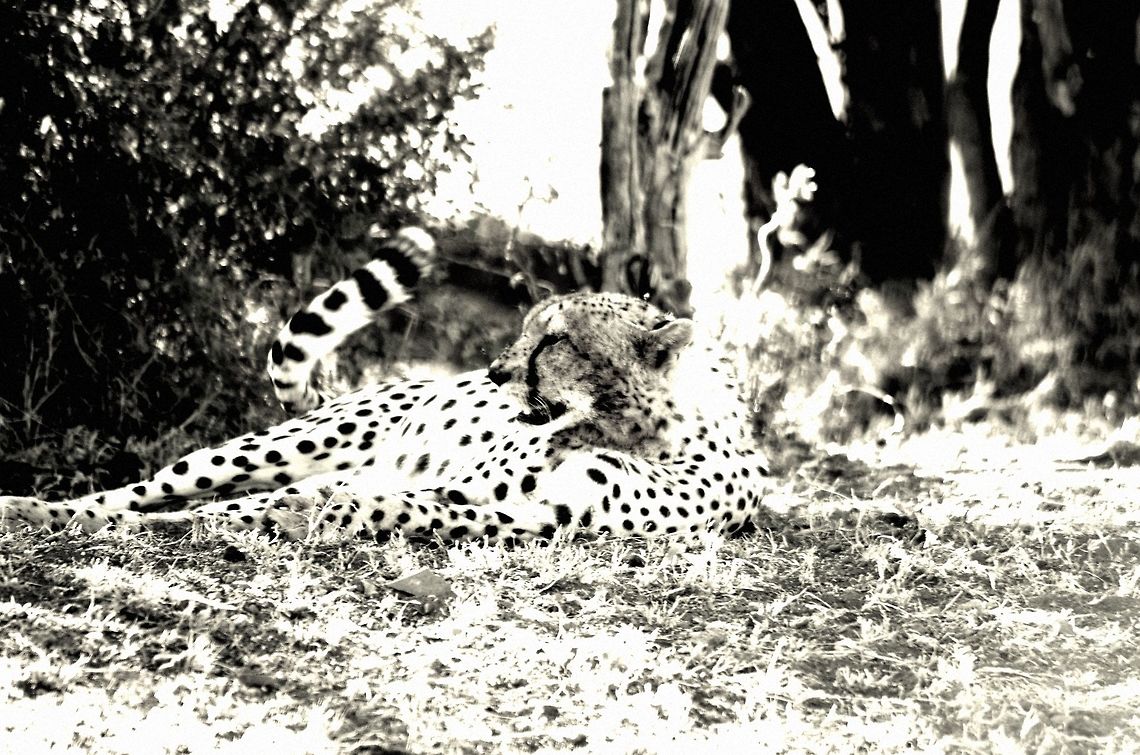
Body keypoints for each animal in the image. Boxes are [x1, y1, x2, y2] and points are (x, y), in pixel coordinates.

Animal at [0, 228, 770, 544]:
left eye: (555, 340)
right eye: (528, 327)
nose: (494, 373)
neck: (635, 430)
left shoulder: (532, 514)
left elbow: (413, 509)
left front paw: (345, 516)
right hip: (274, 449)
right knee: (143, 492)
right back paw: (38, 508)